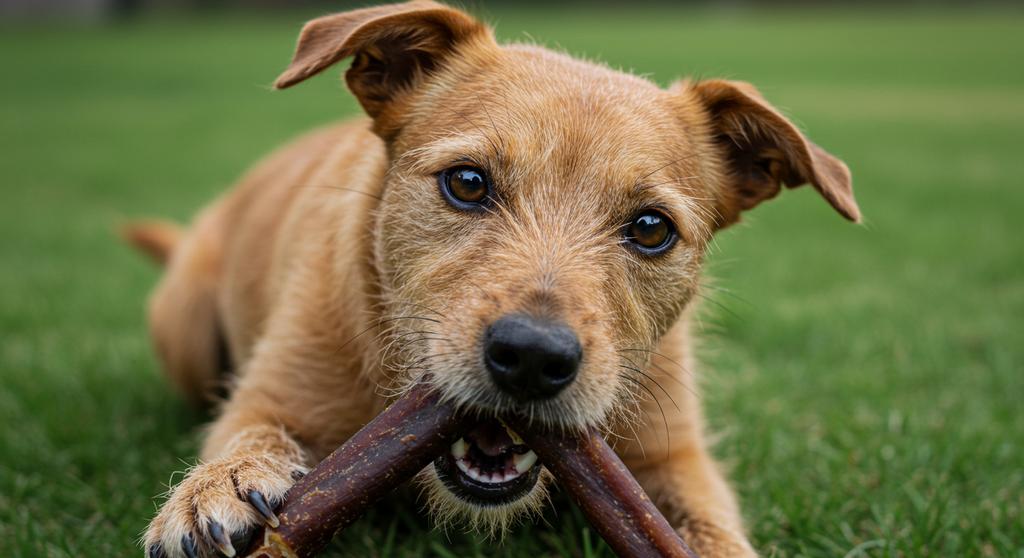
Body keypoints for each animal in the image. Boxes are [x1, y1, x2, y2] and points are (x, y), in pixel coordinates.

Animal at [132, 2, 860, 552]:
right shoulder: (273, 397)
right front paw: (217, 486)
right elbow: (247, 433)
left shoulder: (674, 459)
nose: (533, 357)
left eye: (652, 228)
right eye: (467, 182)